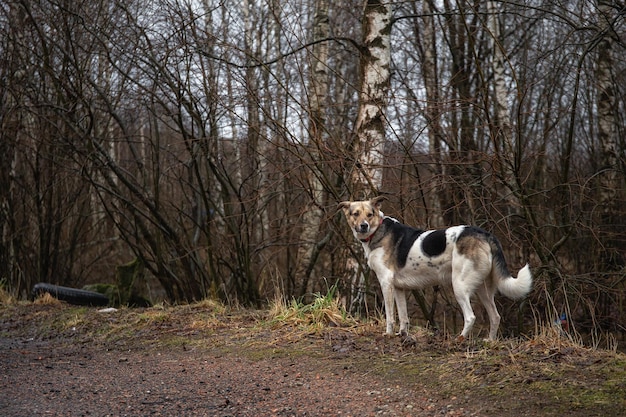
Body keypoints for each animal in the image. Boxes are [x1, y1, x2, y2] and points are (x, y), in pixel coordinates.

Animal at [336, 197, 532, 340]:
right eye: (355, 214)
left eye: (370, 214)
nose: (364, 226)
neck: (377, 231)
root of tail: (486, 234)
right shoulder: (398, 288)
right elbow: (404, 316)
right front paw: (403, 335)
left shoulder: (386, 283)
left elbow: (391, 316)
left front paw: (389, 334)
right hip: (482, 290)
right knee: (495, 316)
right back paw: (490, 341)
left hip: (459, 286)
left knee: (470, 317)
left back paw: (459, 339)